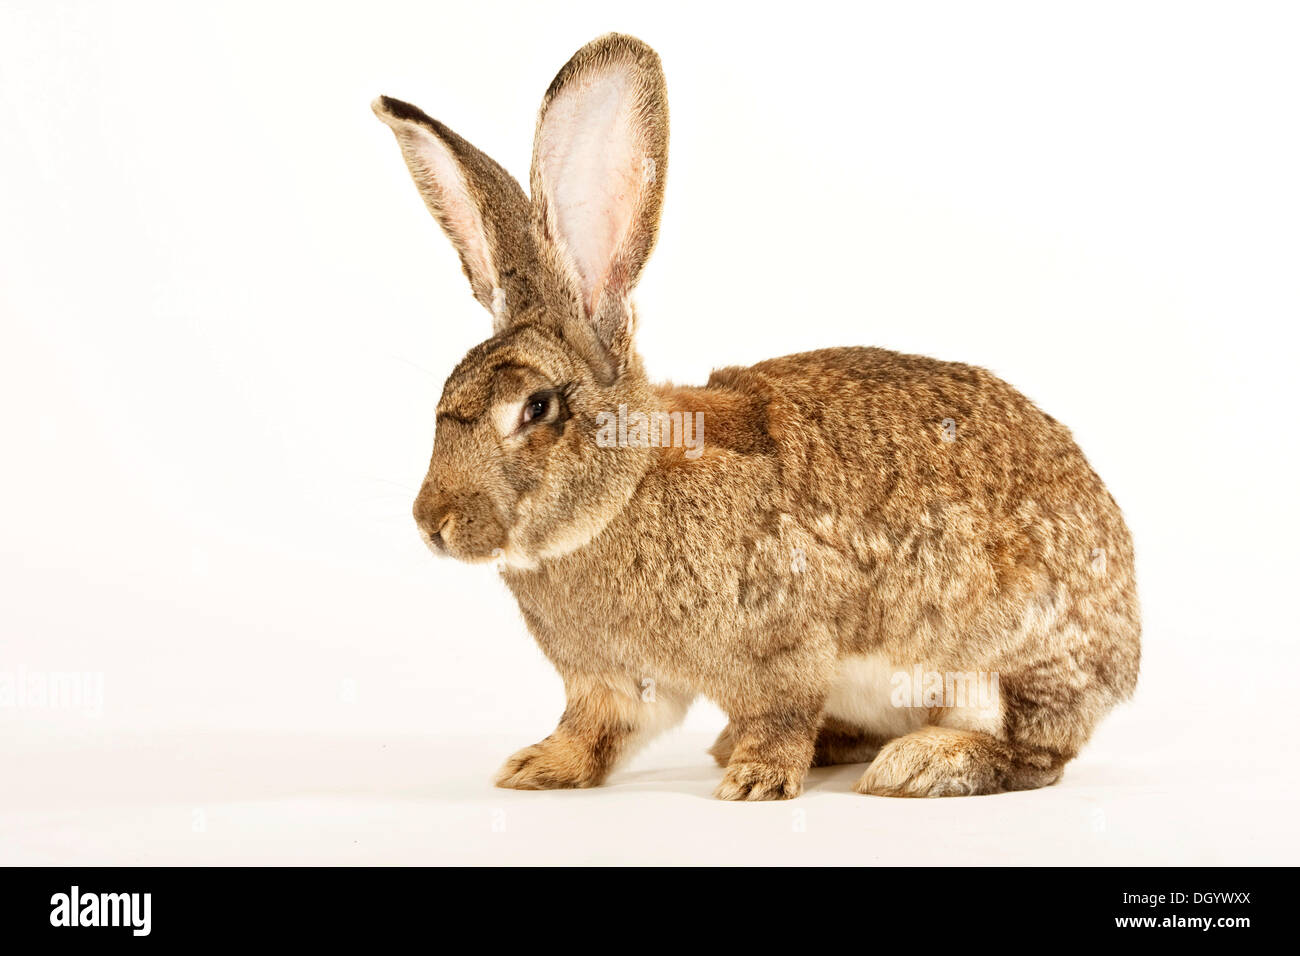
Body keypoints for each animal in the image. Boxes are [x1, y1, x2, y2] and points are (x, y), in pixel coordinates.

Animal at [373, 33, 1140, 800]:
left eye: (536, 408)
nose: (432, 522)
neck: (625, 492)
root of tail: (1125, 650)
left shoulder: (783, 643)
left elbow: (780, 712)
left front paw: (756, 782)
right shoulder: (616, 682)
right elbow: (596, 731)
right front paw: (537, 767)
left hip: (997, 664)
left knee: (1035, 754)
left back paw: (922, 763)